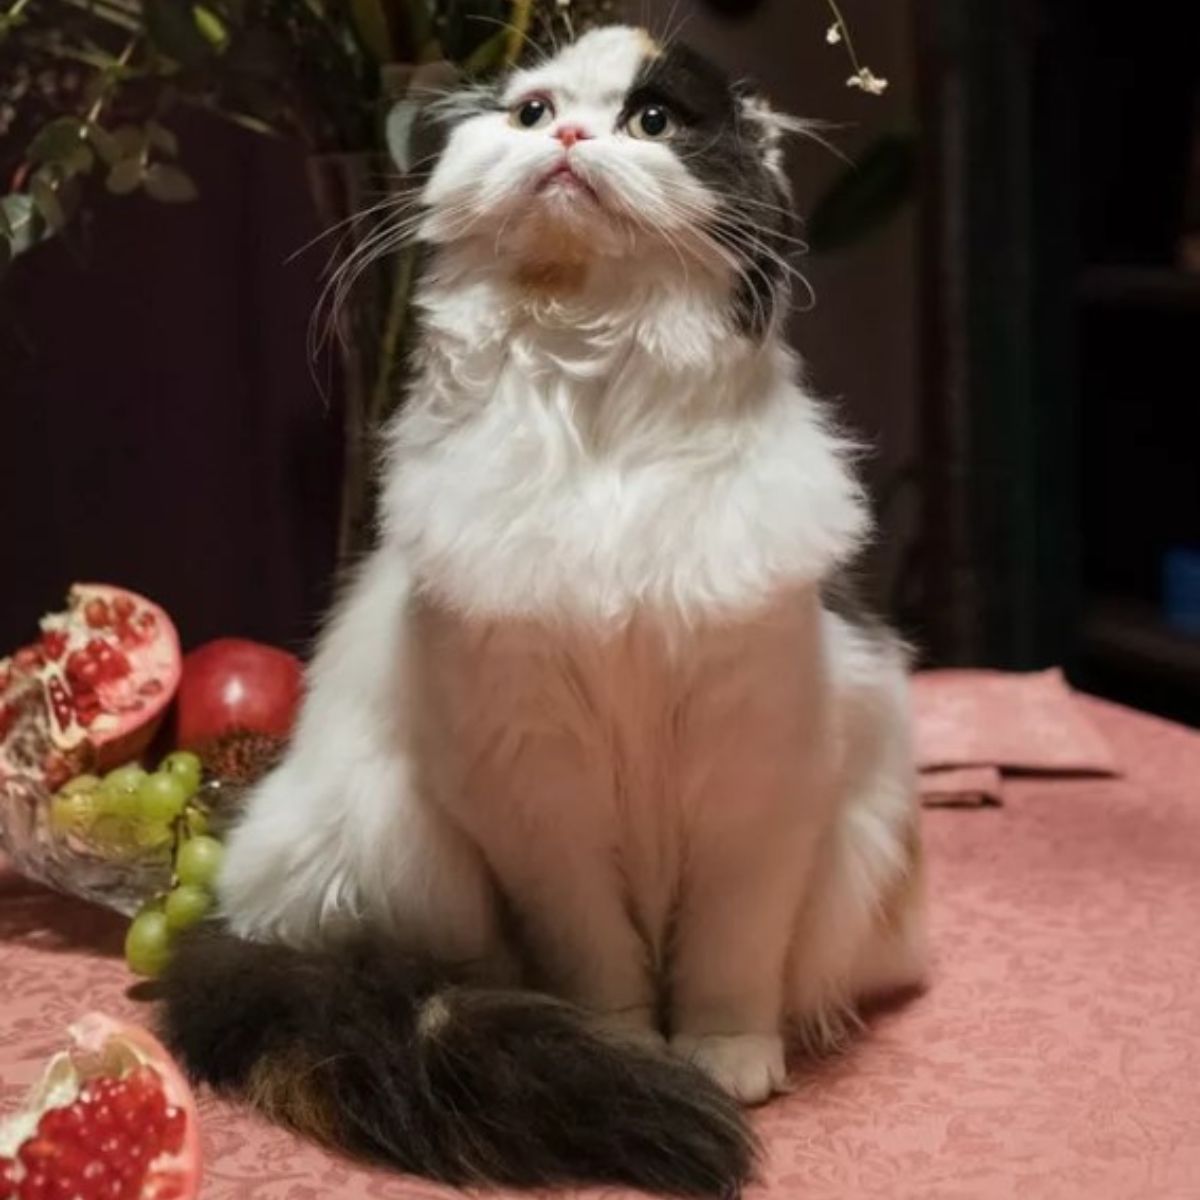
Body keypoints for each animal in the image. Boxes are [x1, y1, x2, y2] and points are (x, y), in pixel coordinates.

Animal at [159, 23, 926, 1195]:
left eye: (652, 121)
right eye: (530, 113)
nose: (567, 141)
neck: (593, 377)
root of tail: (237, 914)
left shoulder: (755, 788)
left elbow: (731, 959)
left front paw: (727, 1058)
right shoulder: (542, 799)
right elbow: (601, 963)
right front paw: (631, 1049)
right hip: (396, 852)